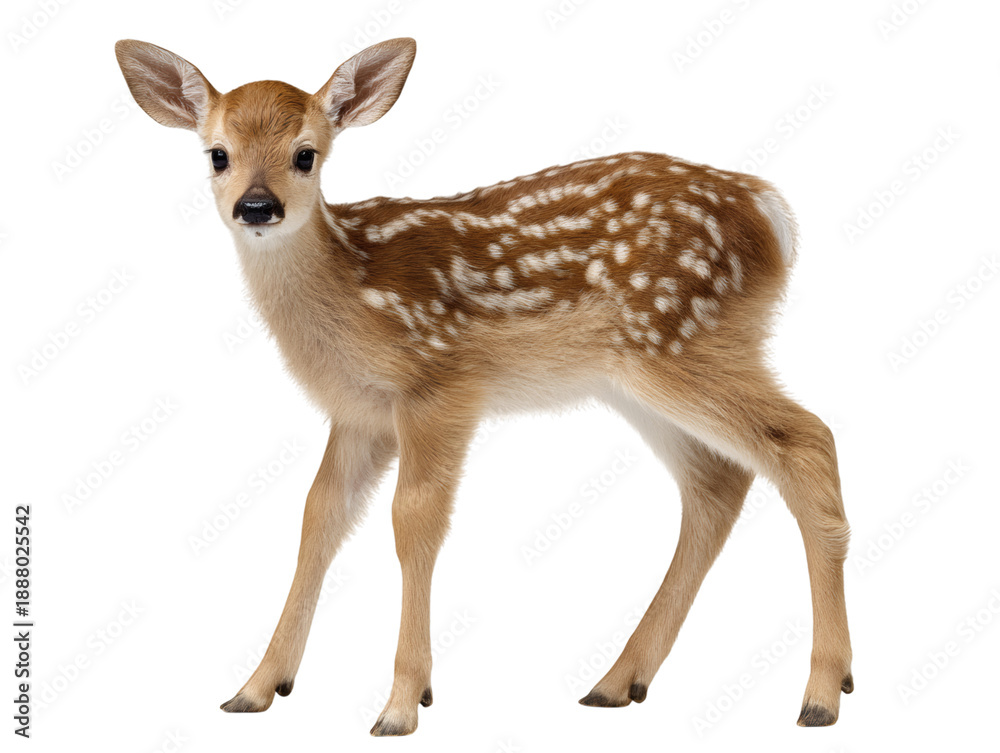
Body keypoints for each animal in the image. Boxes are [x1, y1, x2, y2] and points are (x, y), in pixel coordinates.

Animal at [115, 37, 853, 736]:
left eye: (306, 155)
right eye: (217, 154)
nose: (257, 206)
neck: (351, 290)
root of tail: (773, 213)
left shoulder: (439, 386)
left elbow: (413, 521)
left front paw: (402, 703)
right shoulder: (360, 414)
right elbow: (319, 517)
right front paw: (257, 686)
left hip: (680, 338)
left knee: (806, 440)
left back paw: (823, 692)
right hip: (638, 375)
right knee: (717, 481)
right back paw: (618, 680)